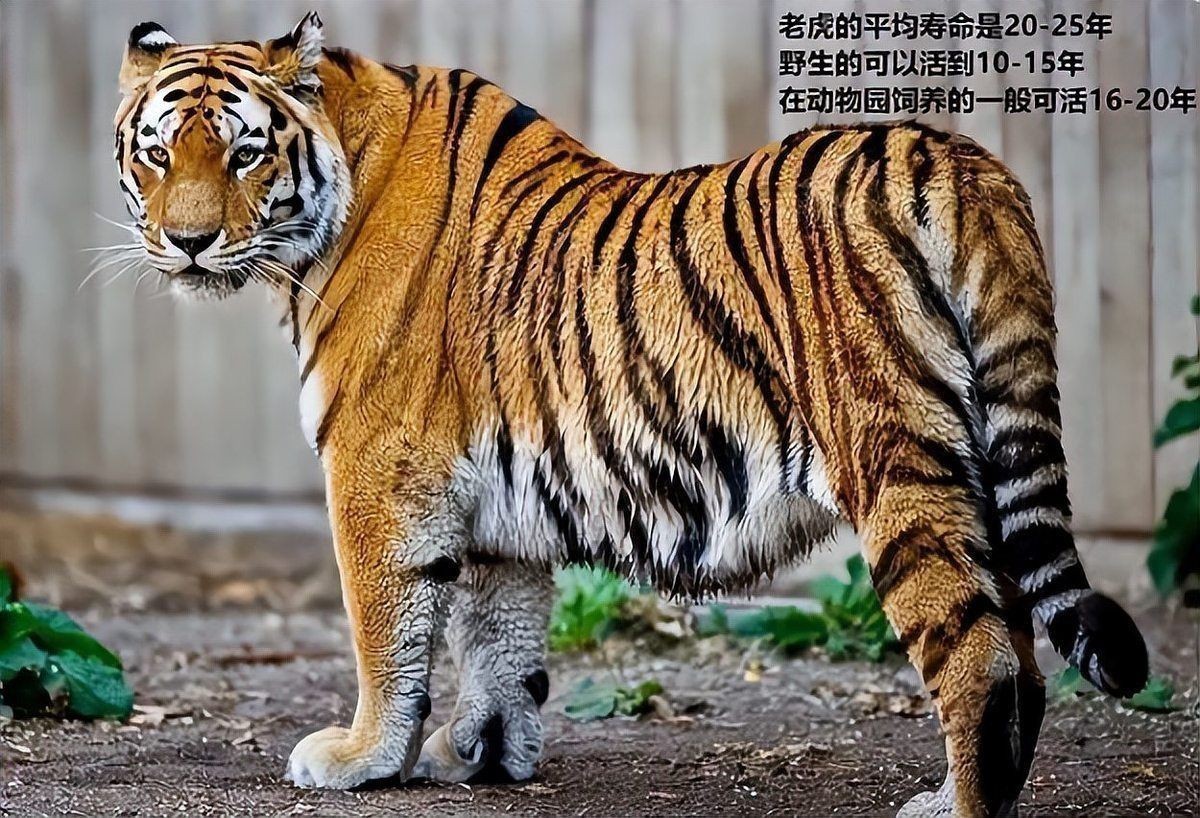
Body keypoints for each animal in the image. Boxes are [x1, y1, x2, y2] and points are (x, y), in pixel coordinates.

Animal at [112, 13, 1149, 817]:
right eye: (158, 151)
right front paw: (483, 753)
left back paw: (953, 804)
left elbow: (386, 630)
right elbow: (499, 637)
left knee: (979, 657)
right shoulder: (493, 497)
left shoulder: (376, 470)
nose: (188, 242)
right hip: (981, 462)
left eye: (245, 150)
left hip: (895, 462)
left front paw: (361, 756)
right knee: (1021, 649)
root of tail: (960, 158)